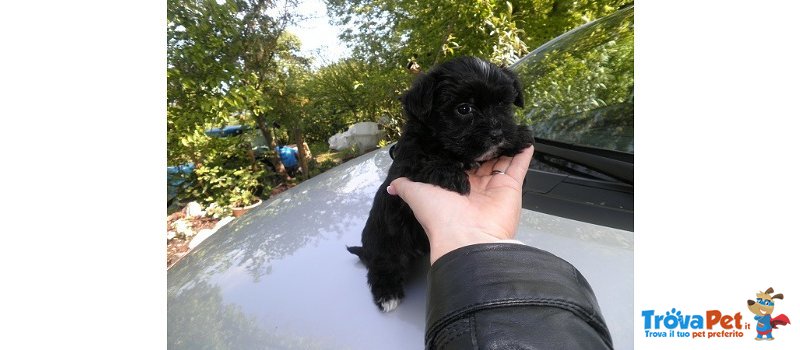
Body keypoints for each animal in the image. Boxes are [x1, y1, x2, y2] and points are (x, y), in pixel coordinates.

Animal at [346, 56, 536, 312]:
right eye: (463, 109)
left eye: (502, 103)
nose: (498, 134)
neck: (442, 143)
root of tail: (367, 250)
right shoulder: (407, 165)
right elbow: (427, 162)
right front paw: (452, 174)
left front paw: (517, 136)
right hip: (387, 249)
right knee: (382, 269)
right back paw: (387, 294)